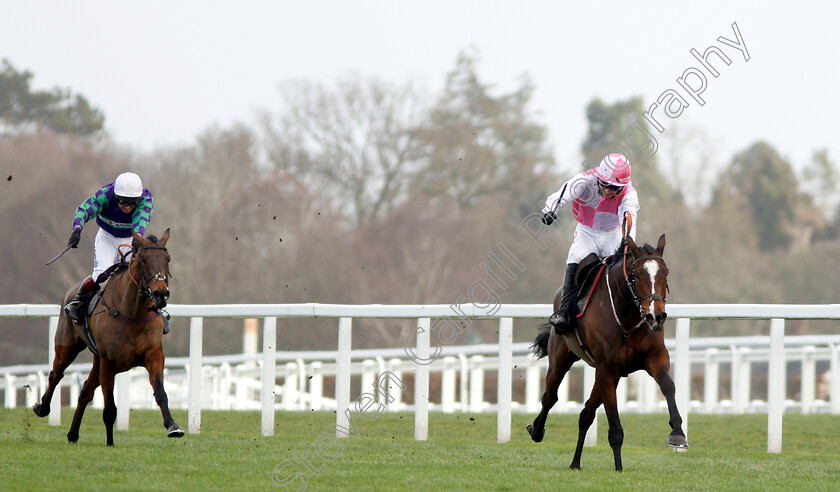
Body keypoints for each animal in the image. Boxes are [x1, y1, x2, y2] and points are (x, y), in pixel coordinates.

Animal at [524, 234, 688, 472]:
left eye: (665, 272)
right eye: (636, 275)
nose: (656, 316)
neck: (627, 317)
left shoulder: (654, 358)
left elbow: (668, 386)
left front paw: (677, 434)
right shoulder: (607, 369)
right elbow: (614, 424)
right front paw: (619, 468)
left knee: (585, 413)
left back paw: (575, 462)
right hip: (560, 359)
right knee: (551, 396)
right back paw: (537, 430)